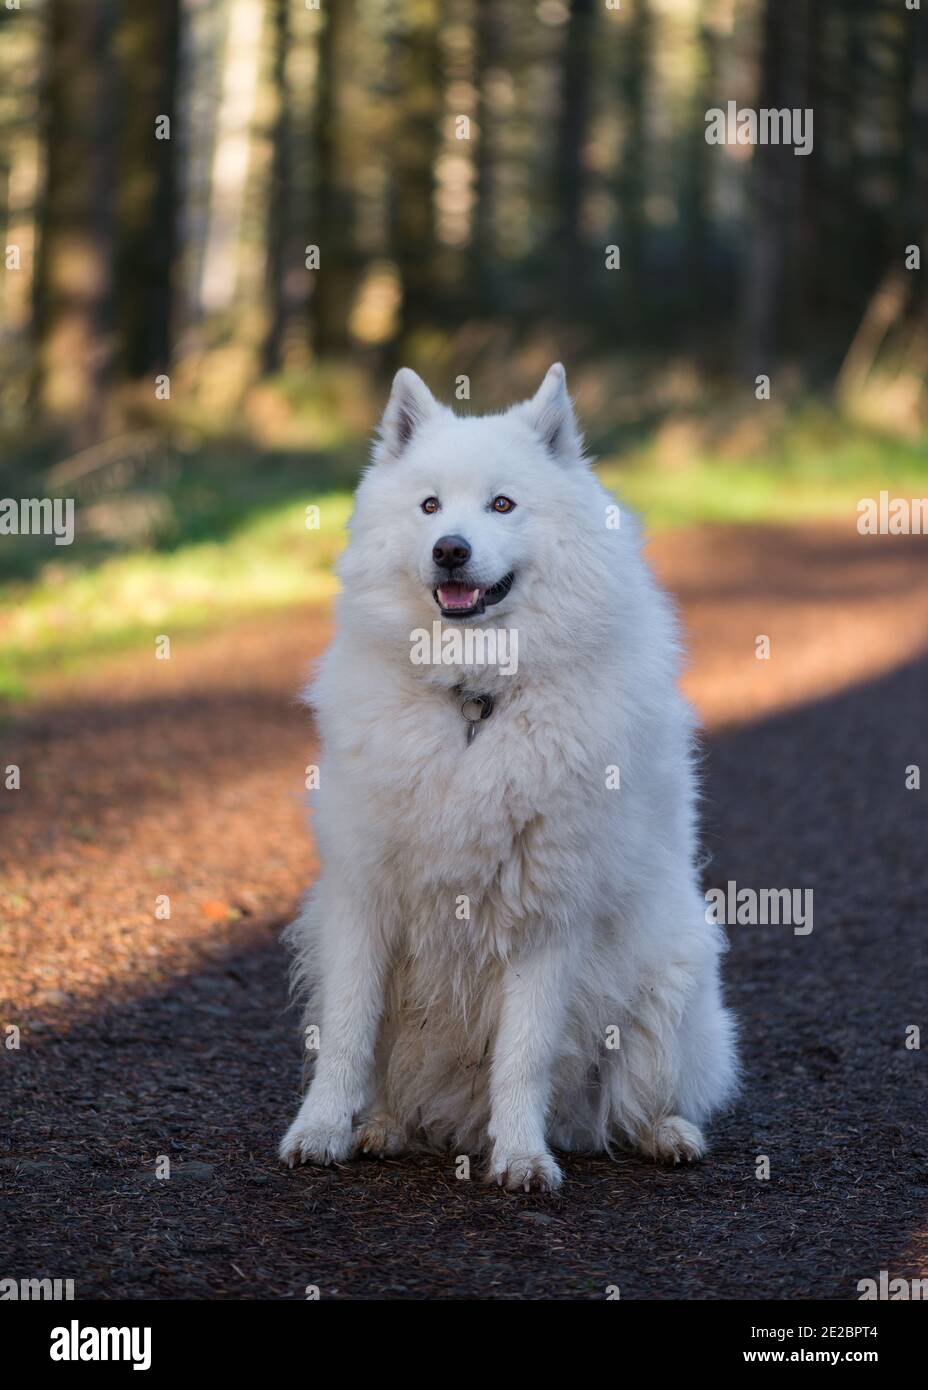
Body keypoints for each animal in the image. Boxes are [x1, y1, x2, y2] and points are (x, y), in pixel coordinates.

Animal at [279, 364, 733, 1189]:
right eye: (429, 505)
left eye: (502, 504)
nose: (450, 550)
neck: (476, 699)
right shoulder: (363, 898)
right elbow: (347, 1038)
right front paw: (320, 1131)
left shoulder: (548, 916)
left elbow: (523, 1056)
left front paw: (521, 1157)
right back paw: (384, 1127)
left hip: (670, 987)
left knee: (641, 1100)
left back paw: (667, 1135)